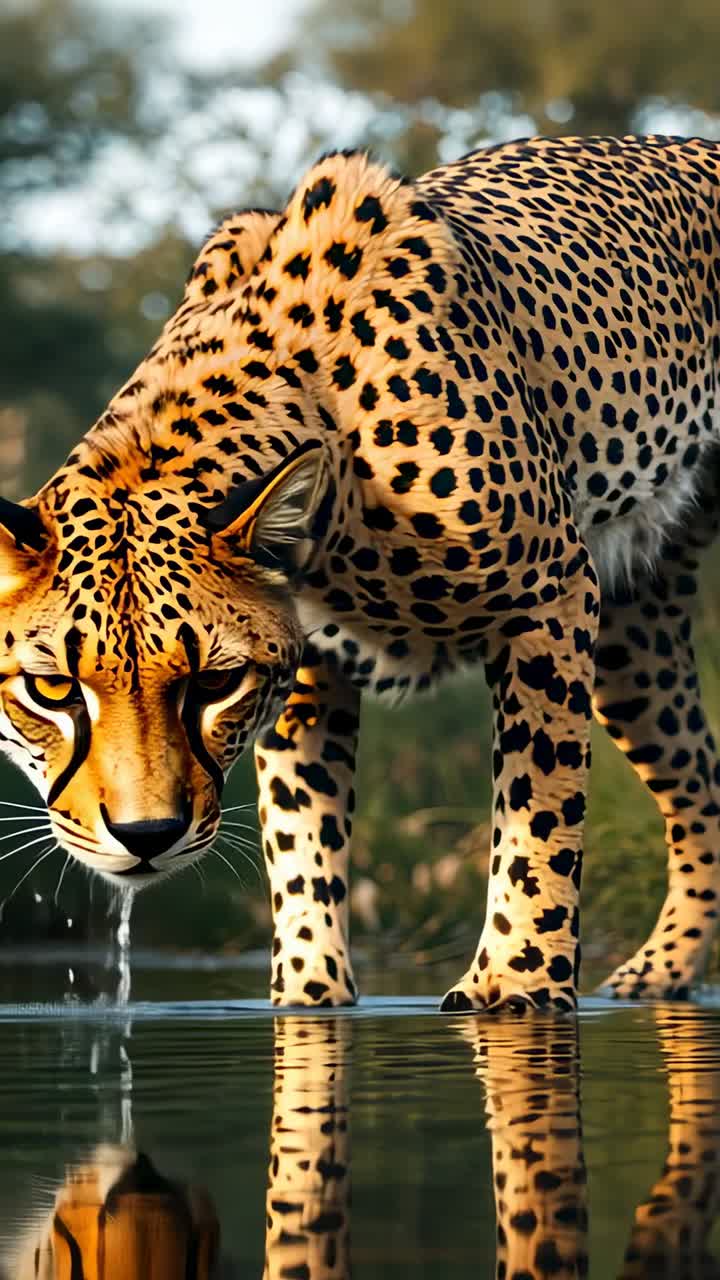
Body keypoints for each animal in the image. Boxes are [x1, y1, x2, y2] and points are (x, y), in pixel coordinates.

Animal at [1, 134, 720, 1012]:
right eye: (52, 688)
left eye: (213, 683)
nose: (145, 837)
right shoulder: (312, 671)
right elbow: (300, 836)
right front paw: (309, 992)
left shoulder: (549, 596)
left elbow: (539, 802)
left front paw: (516, 982)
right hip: (633, 645)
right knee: (703, 789)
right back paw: (664, 970)